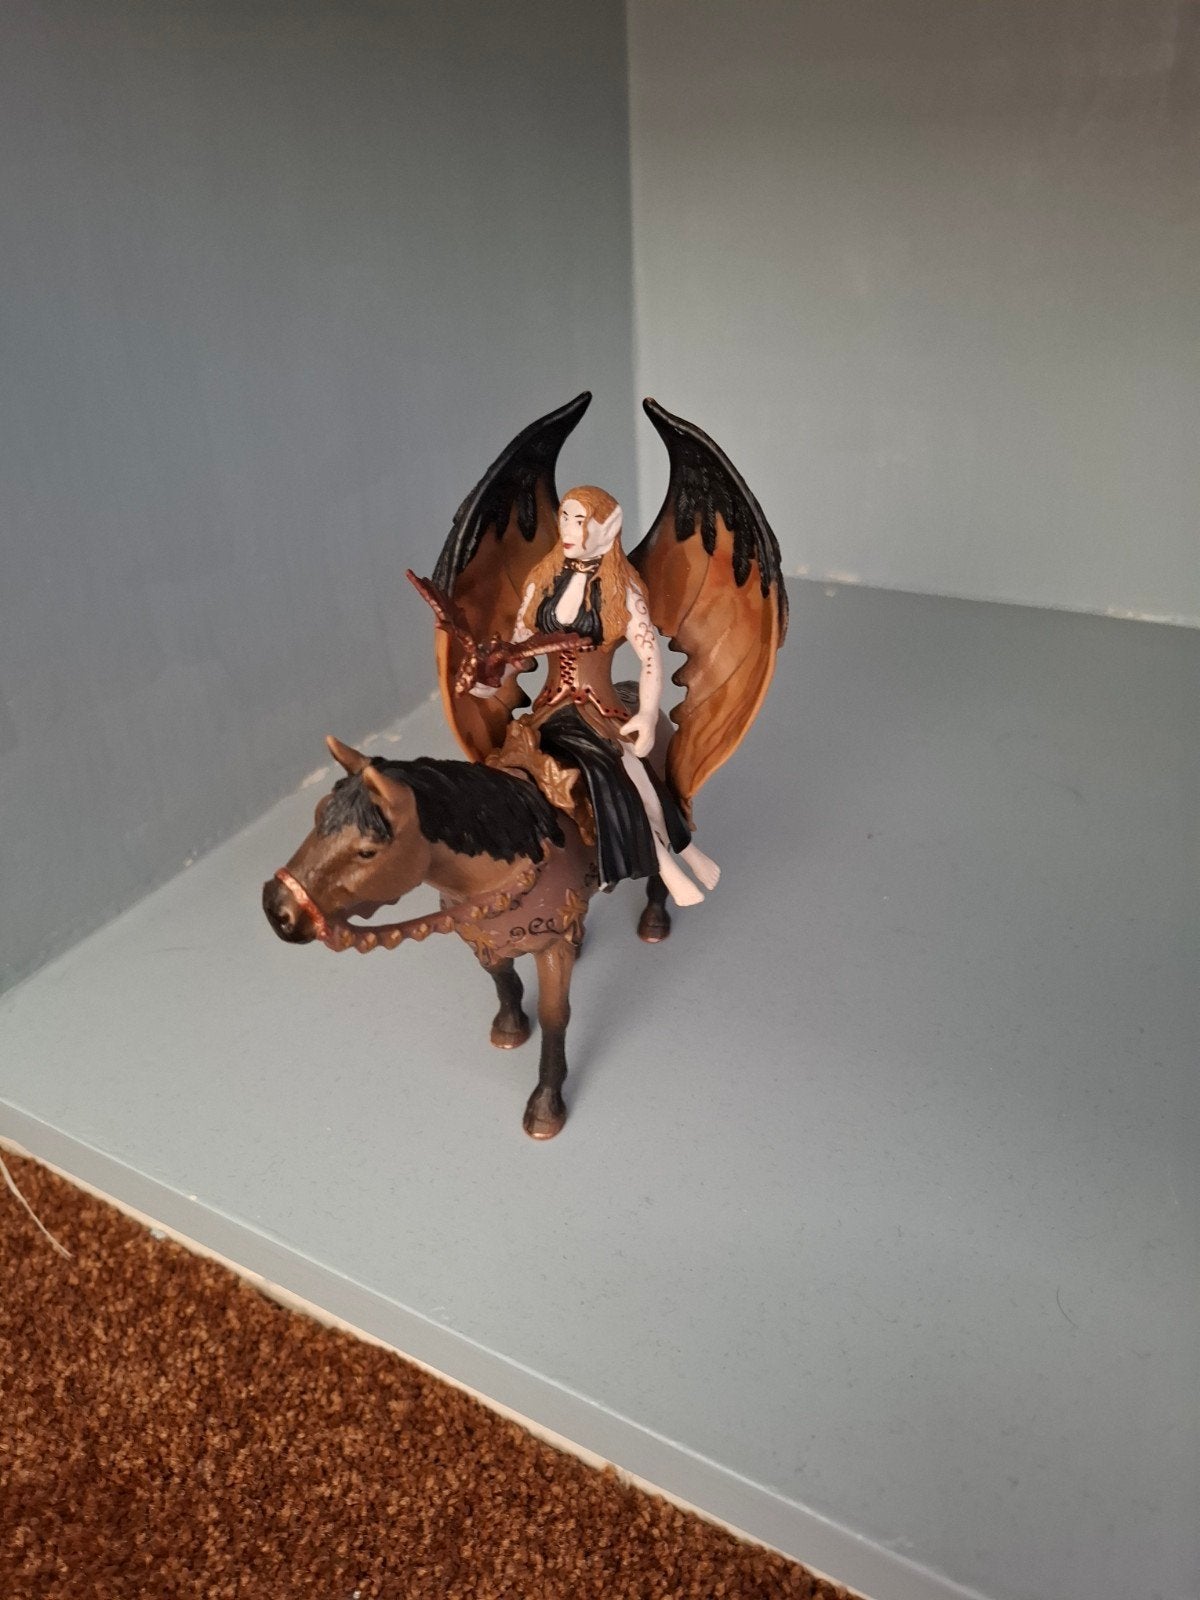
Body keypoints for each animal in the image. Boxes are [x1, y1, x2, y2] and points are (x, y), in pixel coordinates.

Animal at [262, 735, 672, 1140]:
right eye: (319, 814)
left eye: (367, 851)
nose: (277, 910)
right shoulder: (480, 937)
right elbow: (502, 978)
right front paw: (509, 1028)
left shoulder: (551, 947)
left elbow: (554, 1017)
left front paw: (545, 1104)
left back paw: (653, 922)